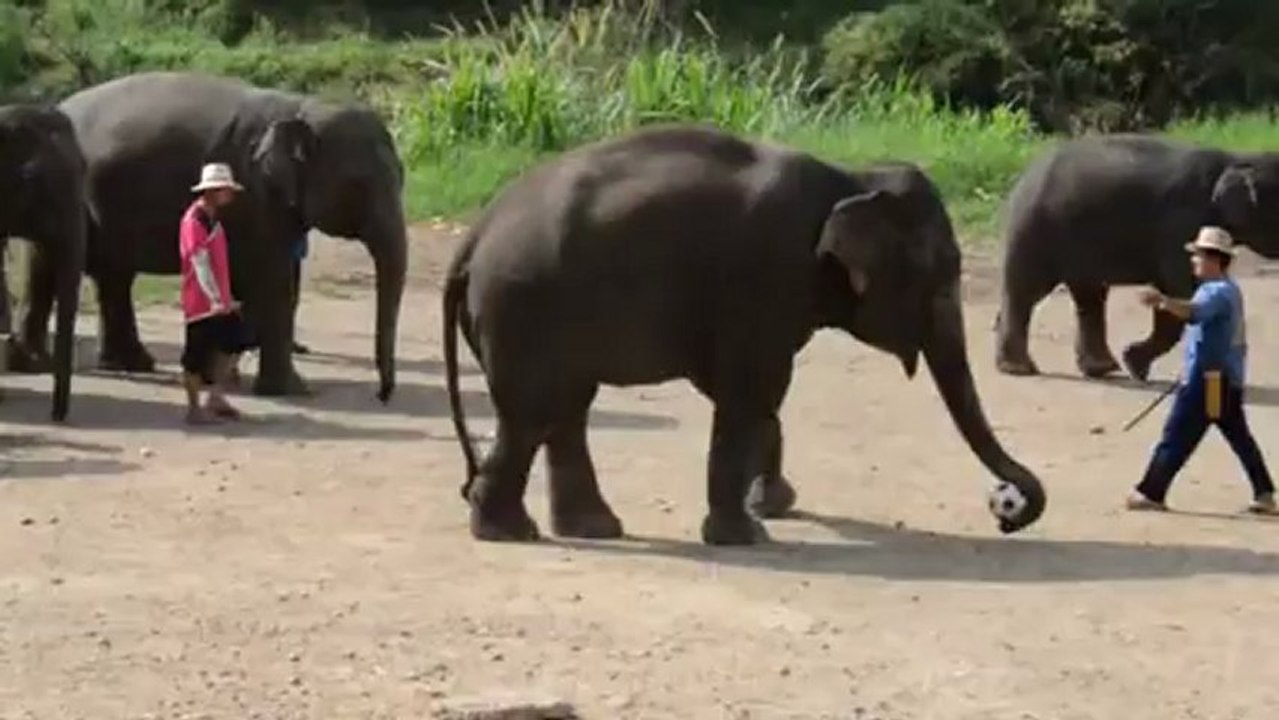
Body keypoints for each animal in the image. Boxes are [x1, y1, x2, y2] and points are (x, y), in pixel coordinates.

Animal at [21, 71, 407, 400]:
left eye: (402, 177)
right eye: (359, 185)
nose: (382, 395)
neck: (300, 107)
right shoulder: (253, 196)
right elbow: (273, 280)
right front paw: (293, 391)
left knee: (112, 275)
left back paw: (129, 364)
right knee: (55, 265)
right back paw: (40, 365)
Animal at [442, 124, 1047, 546]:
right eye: (942, 277)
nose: (1006, 506)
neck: (853, 181)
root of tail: (473, 237)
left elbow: (761, 397)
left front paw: (771, 505)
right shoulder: (766, 276)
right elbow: (752, 391)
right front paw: (750, 533)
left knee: (565, 409)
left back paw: (588, 528)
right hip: (523, 309)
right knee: (535, 413)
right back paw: (510, 532)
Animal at [994, 134, 1279, 382]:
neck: (1236, 158)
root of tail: (1023, 178)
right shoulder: (1180, 225)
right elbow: (1180, 290)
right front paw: (1135, 365)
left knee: (1089, 297)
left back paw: (1101, 368)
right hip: (1035, 231)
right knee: (1026, 292)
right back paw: (1019, 369)